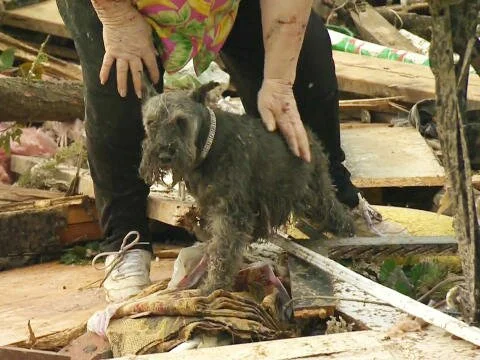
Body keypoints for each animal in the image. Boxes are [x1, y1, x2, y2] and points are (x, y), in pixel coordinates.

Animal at [137, 83, 354, 294]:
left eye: (181, 121)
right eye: (151, 122)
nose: (164, 156)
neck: (208, 143)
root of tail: (308, 134)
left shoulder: (230, 213)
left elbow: (222, 251)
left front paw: (213, 286)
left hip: (314, 193)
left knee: (335, 211)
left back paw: (348, 233)